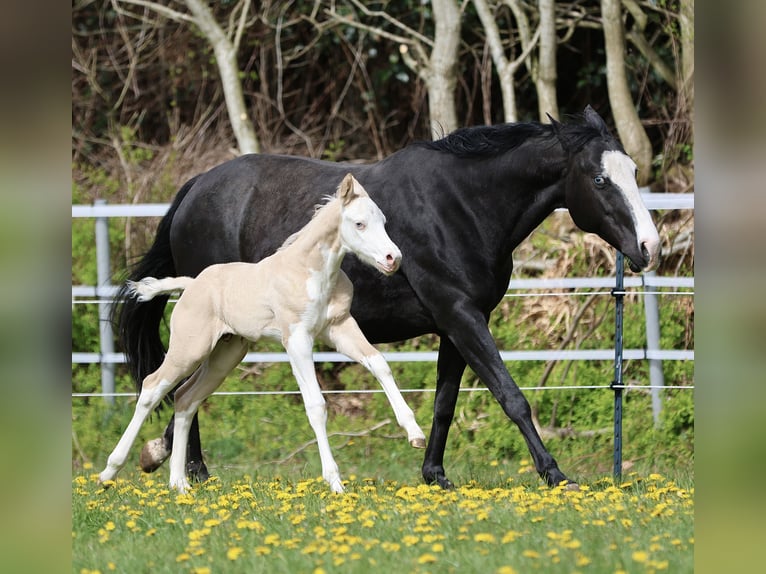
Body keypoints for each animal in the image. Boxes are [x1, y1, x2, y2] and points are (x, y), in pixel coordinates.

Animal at [99, 174, 426, 493]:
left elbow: (378, 363)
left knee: (185, 398)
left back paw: (179, 484)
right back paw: (109, 472)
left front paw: (415, 434)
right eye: (359, 223)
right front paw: (335, 482)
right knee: (152, 387)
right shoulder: (297, 339)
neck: (309, 271)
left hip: (225, 354)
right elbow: (316, 405)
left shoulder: (339, 328)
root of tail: (190, 284)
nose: (393, 258)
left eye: (383, 221)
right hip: (189, 350)